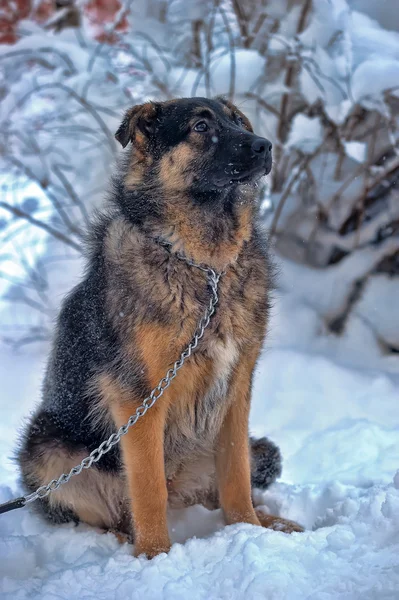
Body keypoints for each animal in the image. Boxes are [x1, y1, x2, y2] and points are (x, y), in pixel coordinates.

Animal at [16, 95, 304, 556]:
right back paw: (120, 543)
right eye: (201, 127)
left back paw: (271, 521)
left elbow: (236, 477)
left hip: (233, 446)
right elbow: (149, 488)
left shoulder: (237, 389)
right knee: (106, 513)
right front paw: (155, 556)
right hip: (48, 446)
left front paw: (248, 530)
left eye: (238, 123)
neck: (206, 266)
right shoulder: (139, 399)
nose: (264, 146)